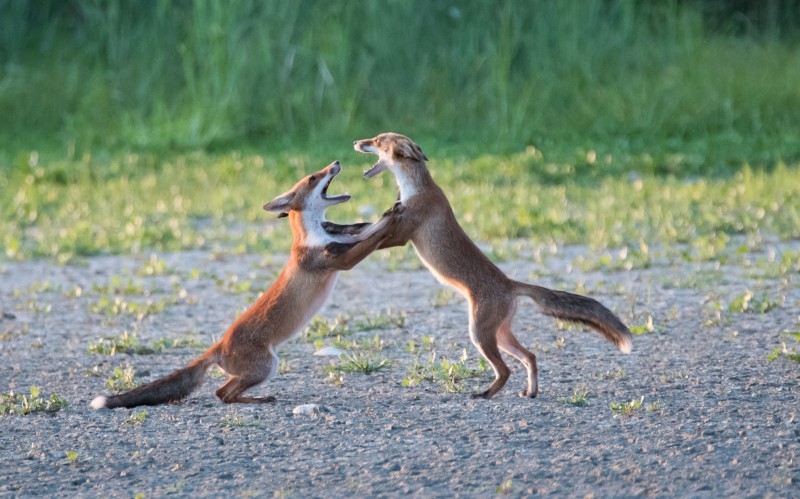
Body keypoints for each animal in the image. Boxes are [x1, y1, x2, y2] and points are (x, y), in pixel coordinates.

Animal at [91, 161, 400, 410]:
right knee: (222, 394)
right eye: (314, 177)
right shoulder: (338, 260)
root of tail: (219, 345)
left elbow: (365, 229)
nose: (335, 162)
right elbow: (371, 241)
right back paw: (257, 400)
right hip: (266, 366)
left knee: (222, 392)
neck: (315, 234)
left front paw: (389, 213)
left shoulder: (343, 239)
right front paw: (393, 218)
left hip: (260, 369)